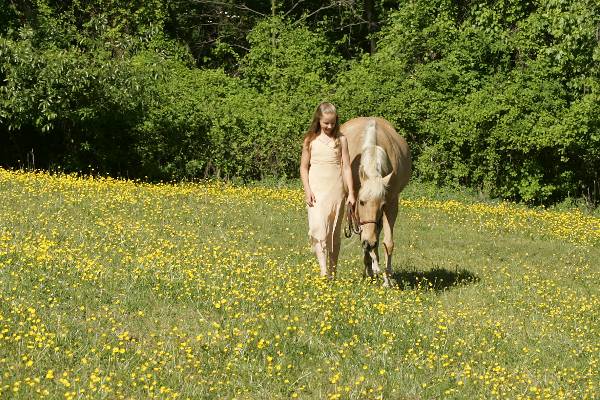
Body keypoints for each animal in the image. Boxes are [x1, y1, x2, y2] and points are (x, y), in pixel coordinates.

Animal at [341, 117, 411, 286]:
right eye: (361, 202)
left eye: (382, 205)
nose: (369, 243)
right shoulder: (355, 207)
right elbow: (363, 239)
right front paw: (370, 270)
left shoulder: (391, 204)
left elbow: (388, 243)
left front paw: (387, 279)